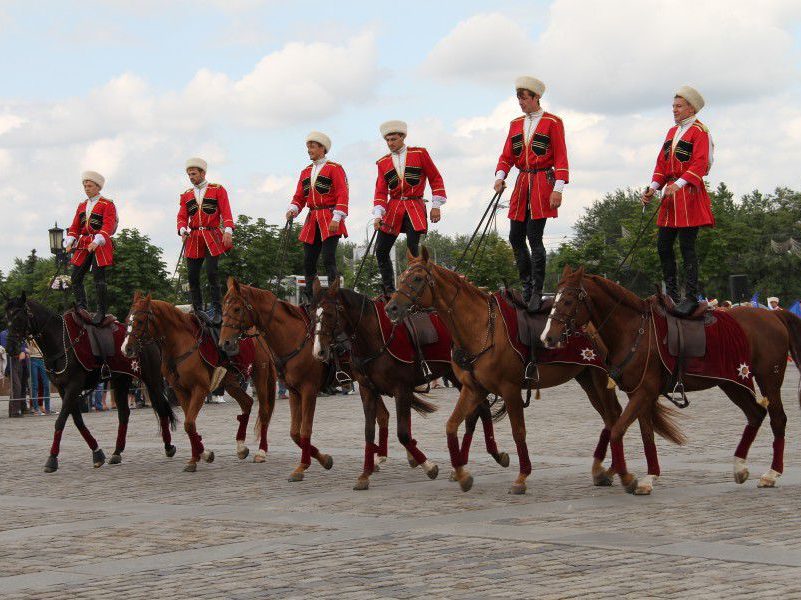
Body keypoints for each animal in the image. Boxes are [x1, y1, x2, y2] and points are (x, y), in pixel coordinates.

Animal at [122, 292, 276, 472]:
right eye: (127, 319)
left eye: (139, 321)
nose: (126, 348)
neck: (179, 346)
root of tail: (258, 334)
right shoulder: (180, 391)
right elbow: (190, 424)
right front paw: (198, 456)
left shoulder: (200, 389)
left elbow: (189, 423)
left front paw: (201, 455)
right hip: (230, 383)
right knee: (247, 403)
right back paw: (241, 447)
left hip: (260, 375)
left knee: (264, 411)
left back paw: (261, 451)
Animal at [310, 278, 510, 490]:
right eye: (311, 312)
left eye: (329, 313)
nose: (319, 351)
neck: (374, 337)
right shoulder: (367, 390)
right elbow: (369, 432)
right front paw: (365, 474)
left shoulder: (402, 389)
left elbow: (403, 433)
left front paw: (428, 466)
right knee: (481, 409)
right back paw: (478, 460)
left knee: (481, 409)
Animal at [382, 246, 680, 494]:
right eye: (401, 278)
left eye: (416, 279)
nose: (391, 307)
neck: (481, 328)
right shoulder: (473, 388)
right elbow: (451, 425)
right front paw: (462, 473)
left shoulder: (510, 389)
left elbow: (518, 432)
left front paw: (522, 477)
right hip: (586, 379)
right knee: (611, 419)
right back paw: (603, 470)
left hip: (598, 379)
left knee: (614, 417)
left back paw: (614, 471)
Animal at [536, 268, 800, 492]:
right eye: (553, 299)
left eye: (567, 300)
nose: (547, 337)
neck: (633, 331)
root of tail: (774, 316)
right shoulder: (638, 393)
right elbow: (646, 434)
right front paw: (648, 477)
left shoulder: (644, 391)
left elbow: (617, 430)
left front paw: (627, 477)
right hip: (731, 382)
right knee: (755, 414)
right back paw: (740, 467)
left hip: (769, 378)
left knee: (777, 419)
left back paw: (771, 473)